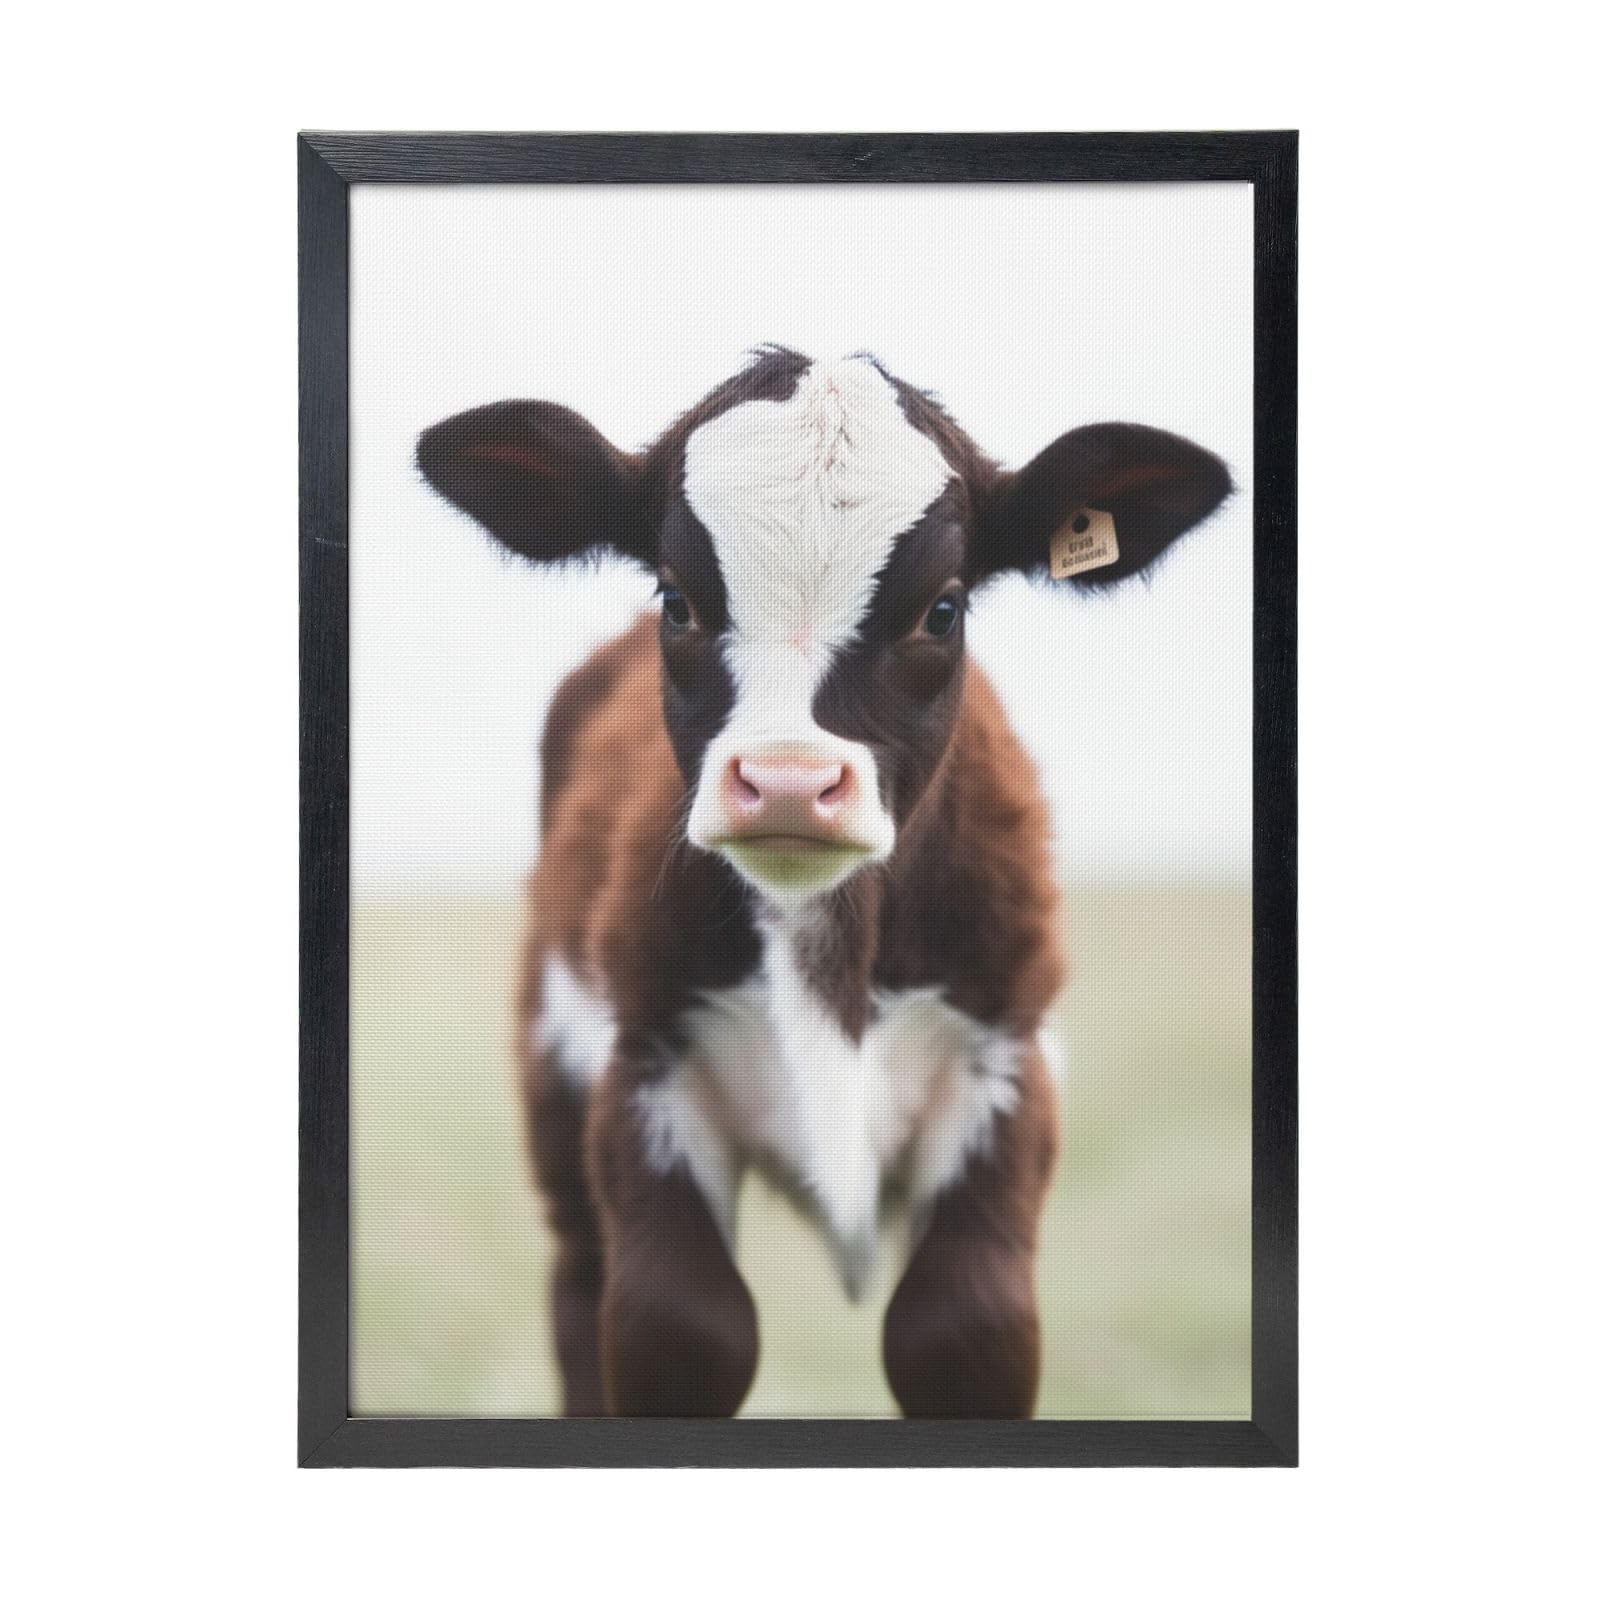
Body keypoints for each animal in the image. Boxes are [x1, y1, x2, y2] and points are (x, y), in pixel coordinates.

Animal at [418, 347, 1231, 1417]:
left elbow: (961, 1328)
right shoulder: (643, 1068)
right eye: (677, 601)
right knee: (579, 1287)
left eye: (943, 608)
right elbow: (681, 1329)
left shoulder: (1007, 1065)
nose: (789, 782)